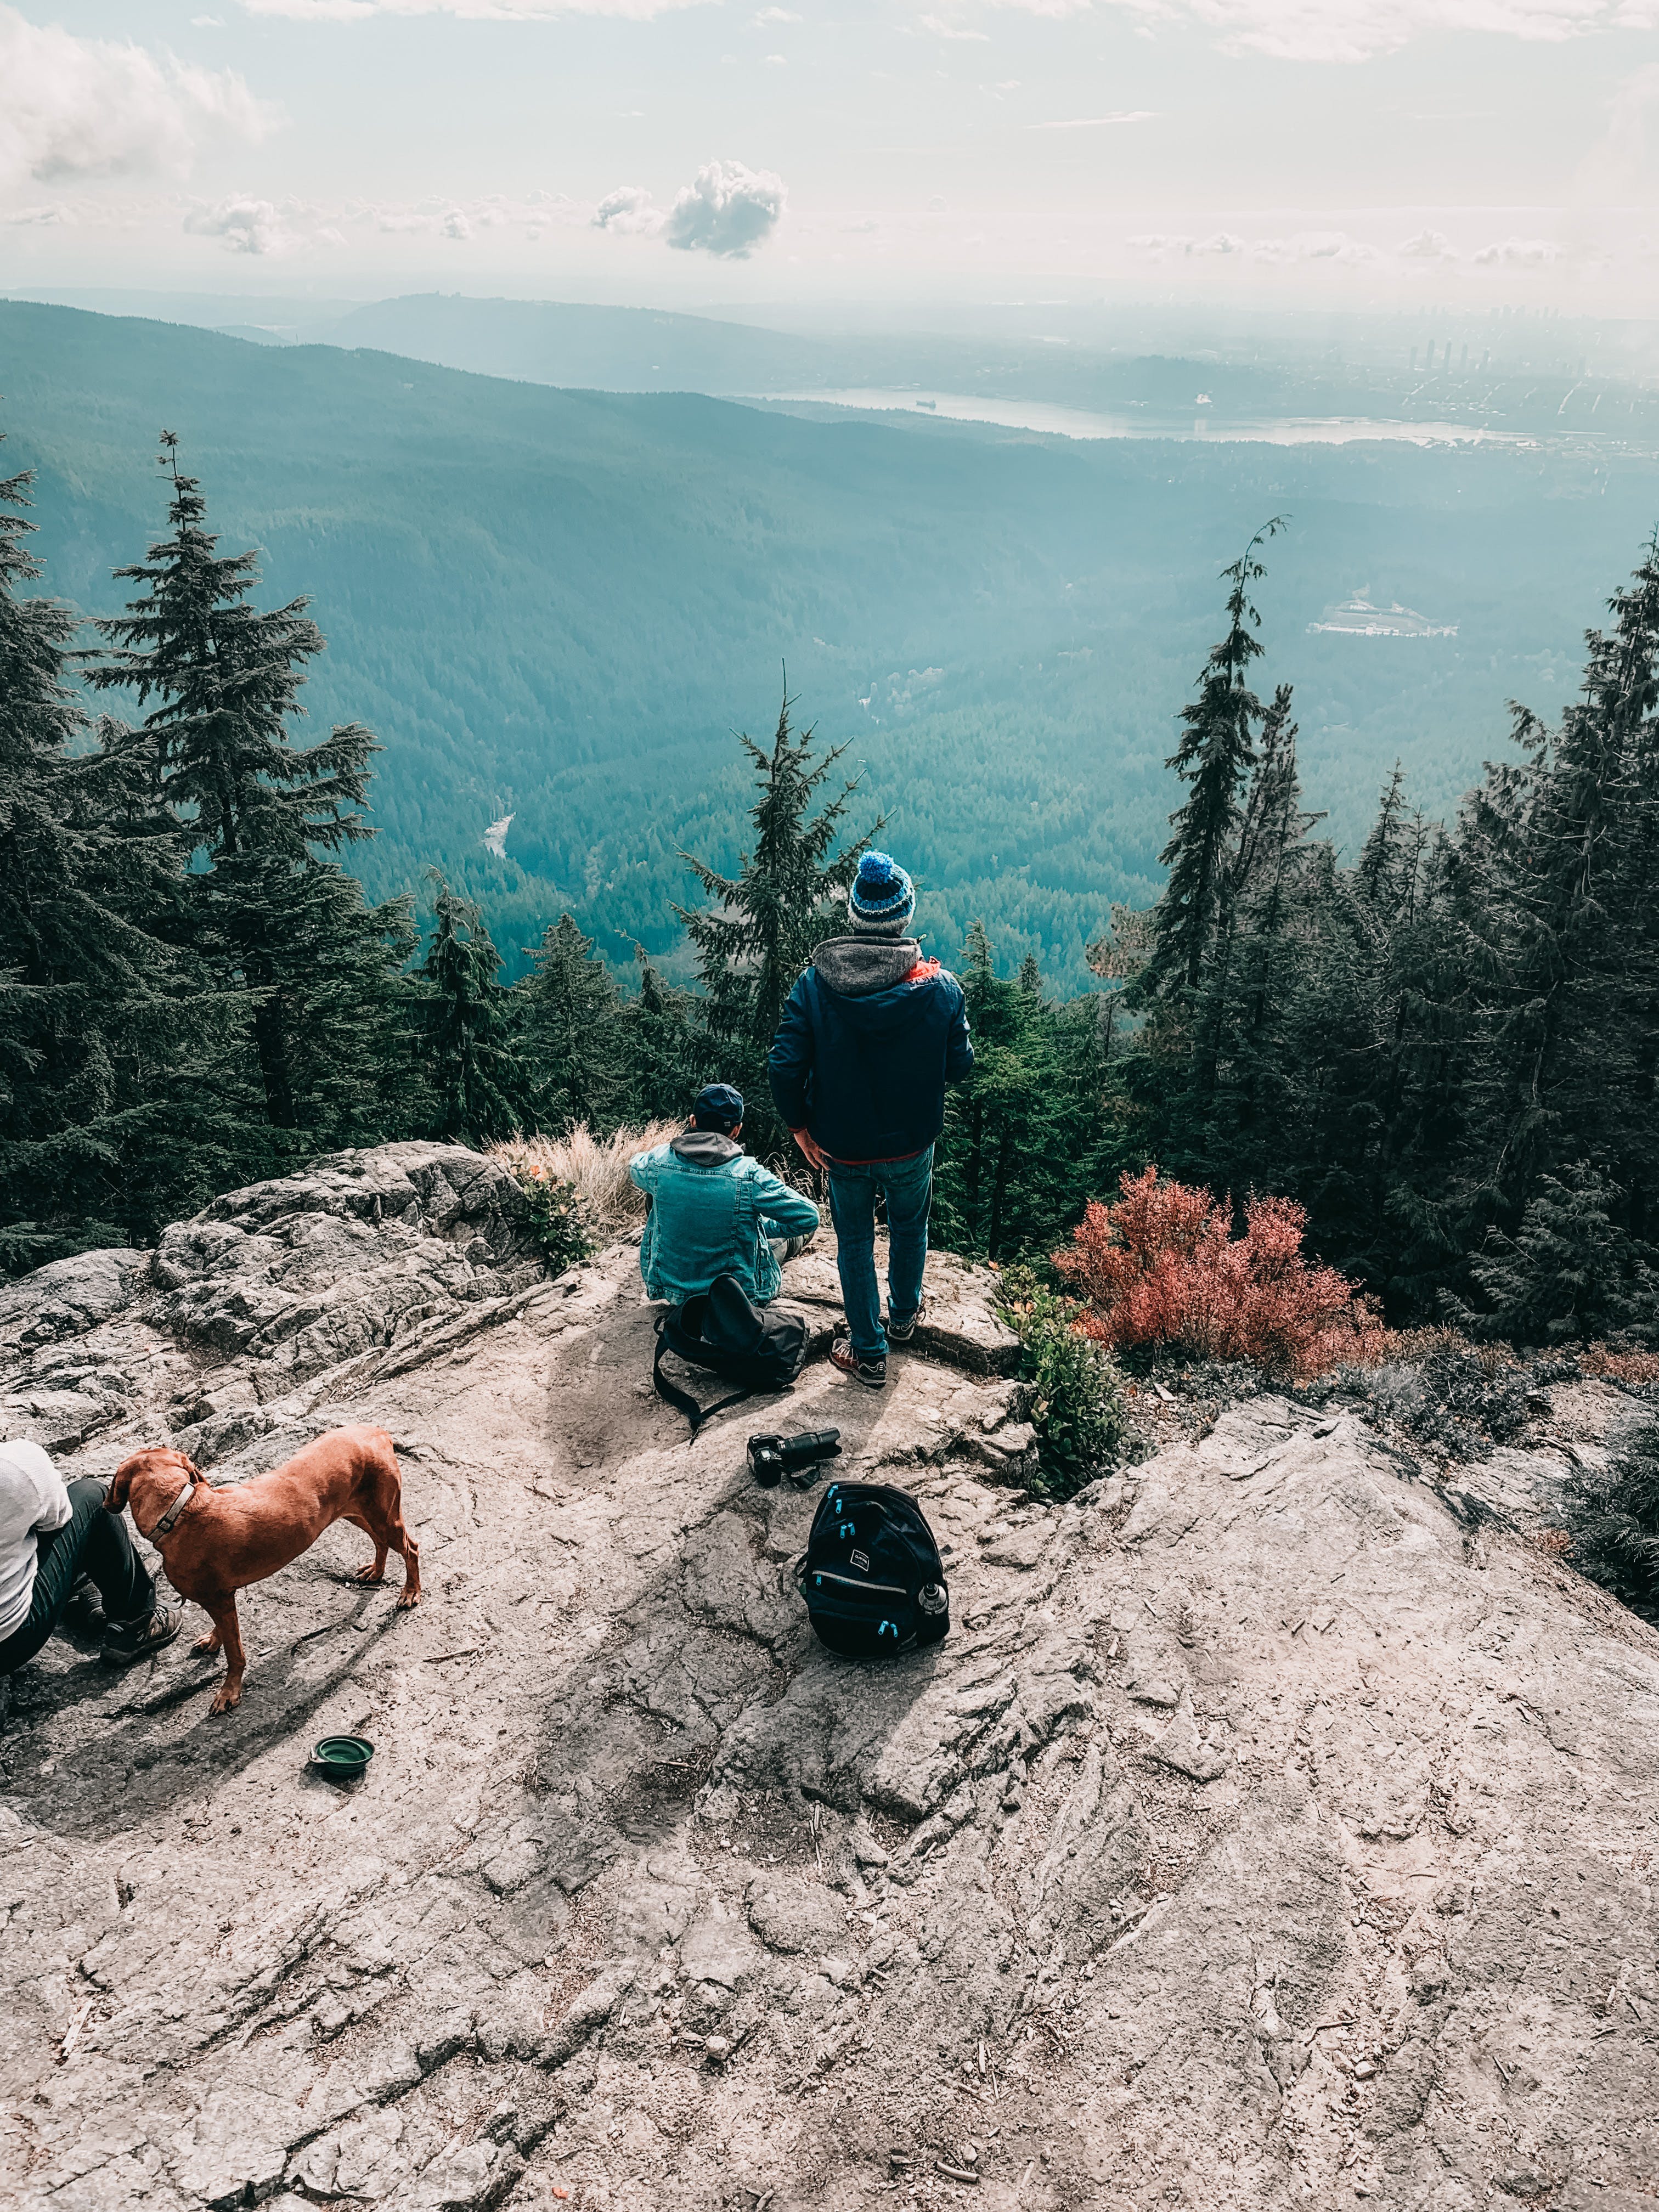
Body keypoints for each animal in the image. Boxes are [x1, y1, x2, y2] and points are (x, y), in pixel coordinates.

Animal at [109, 1424, 422, 1716]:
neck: (179, 1512)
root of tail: (376, 1431)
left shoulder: (219, 1598)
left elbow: (235, 1653)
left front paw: (229, 1692)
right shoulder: (223, 1598)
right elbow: (225, 1631)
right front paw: (213, 1640)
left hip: (385, 1516)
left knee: (412, 1549)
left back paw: (410, 1592)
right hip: (356, 1512)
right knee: (380, 1541)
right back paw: (377, 1571)